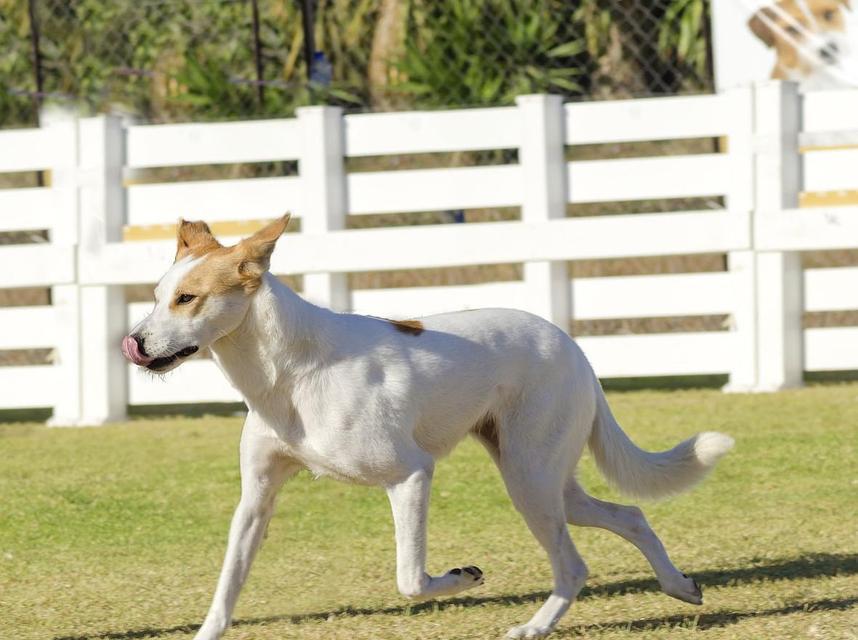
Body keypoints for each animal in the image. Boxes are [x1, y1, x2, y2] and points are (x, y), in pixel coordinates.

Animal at [120, 216, 732, 640]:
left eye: (188, 298)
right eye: (156, 297)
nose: (135, 343)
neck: (289, 372)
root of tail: (572, 346)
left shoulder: (411, 475)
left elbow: (410, 579)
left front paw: (463, 578)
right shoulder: (257, 499)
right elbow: (227, 586)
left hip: (529, 481)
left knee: (574, 564)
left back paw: (534, 627)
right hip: (547, 482)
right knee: (630, 516)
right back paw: (679, 586)